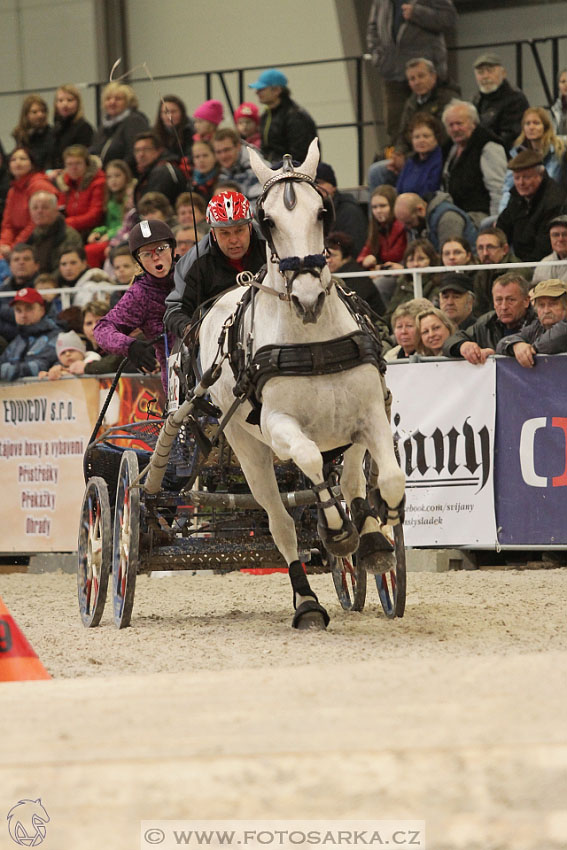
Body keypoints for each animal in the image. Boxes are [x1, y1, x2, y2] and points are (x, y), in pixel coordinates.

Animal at [197, 139, 406, 628]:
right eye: (268, 220)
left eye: (322, 212)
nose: (308, 298)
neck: (312, 342)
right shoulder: (278, 426)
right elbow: (310, 464)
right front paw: (336, 531)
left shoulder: (371, 414)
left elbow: (388, 478)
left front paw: (378, 524)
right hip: (249, 450)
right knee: (282, 520)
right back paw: (307, 599)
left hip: (345, 435)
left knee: (350, 479)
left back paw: (369, 536)